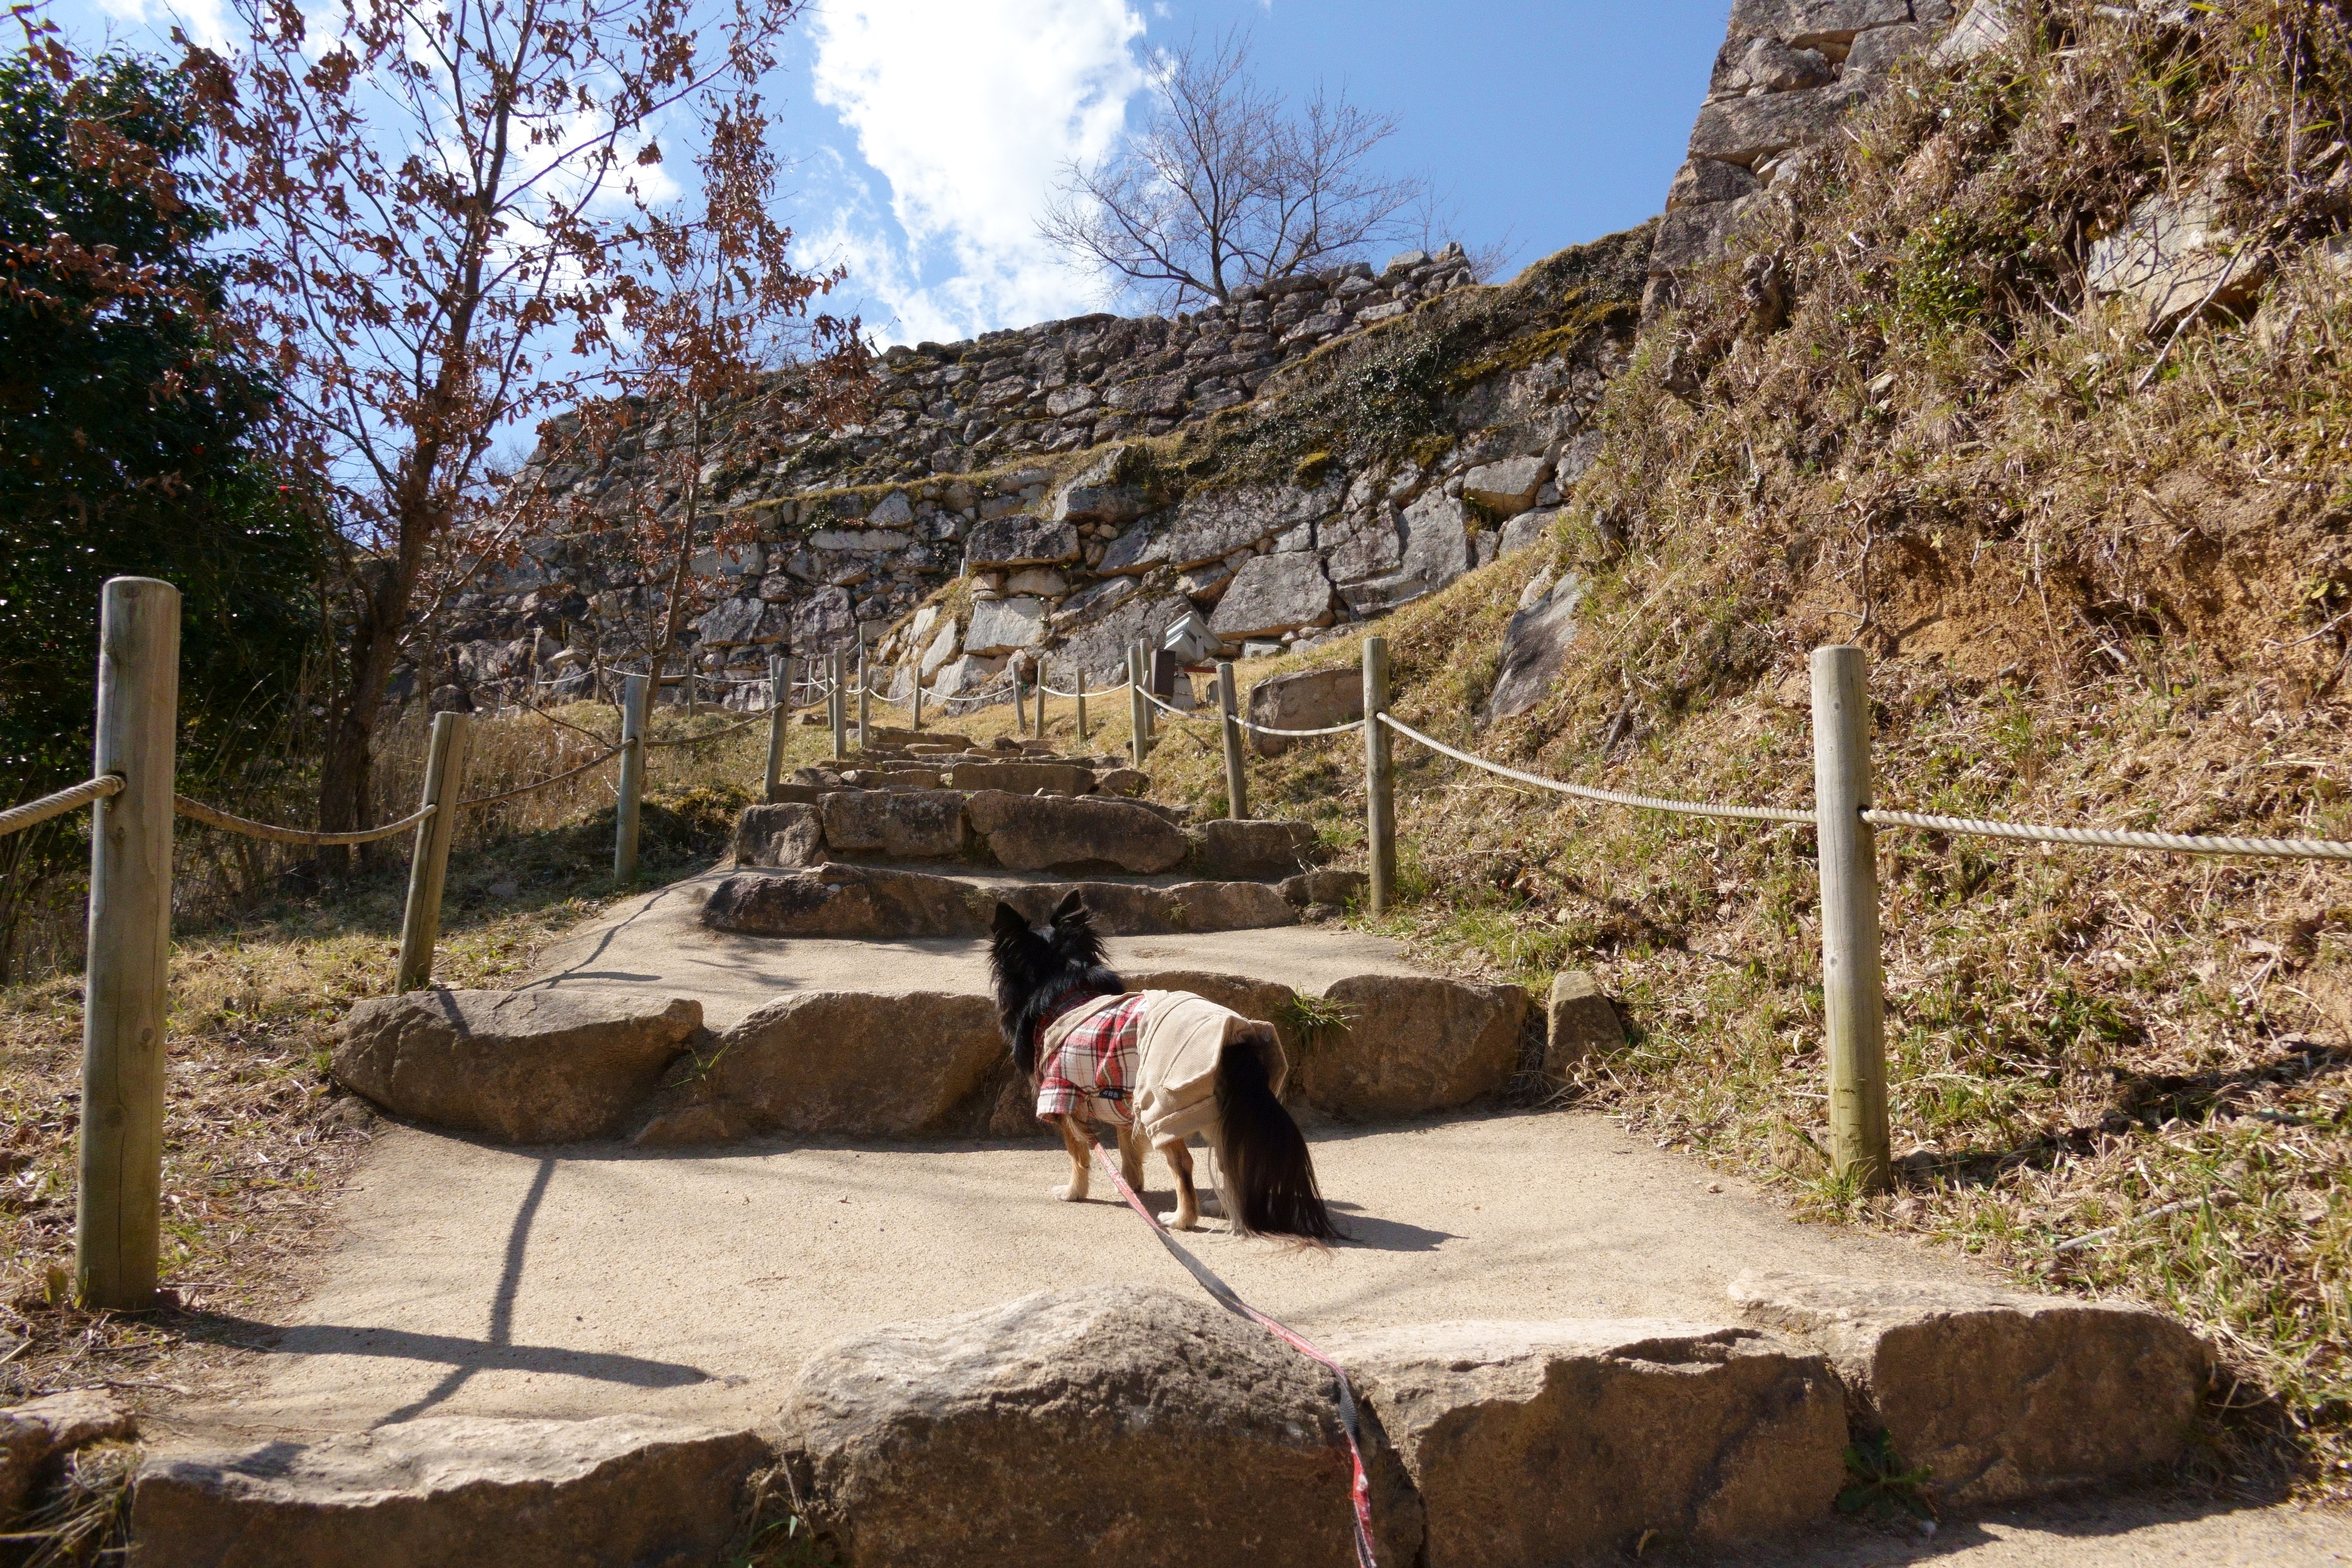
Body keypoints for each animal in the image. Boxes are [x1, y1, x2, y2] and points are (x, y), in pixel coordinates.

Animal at [983, 893, 1336, 1241]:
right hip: (1213, 1111)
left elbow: (1078, 1154)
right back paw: (1221, 1206)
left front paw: (1074, 1192)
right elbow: (1127, 1146)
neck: (1065, 995)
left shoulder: (1062, 1095)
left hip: (1164, 1109)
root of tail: (1235, 1040)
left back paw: (1183, 1218)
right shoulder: (1123, 1098)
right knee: (1231, 1159)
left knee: (1184, 1164)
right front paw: (1130, 1186)